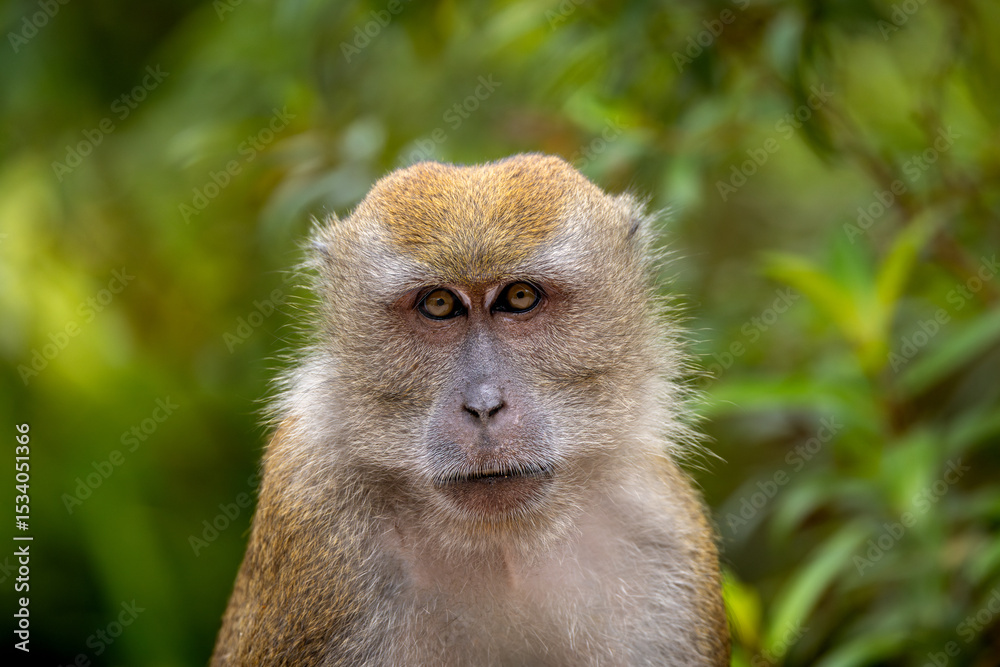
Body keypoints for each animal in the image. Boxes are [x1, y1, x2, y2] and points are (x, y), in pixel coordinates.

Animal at [211, 153, 730, 666]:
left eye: (520, 297)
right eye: (439, 304)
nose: (483, 405)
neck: (504, 544)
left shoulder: (663, 534)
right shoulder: (314, 509)